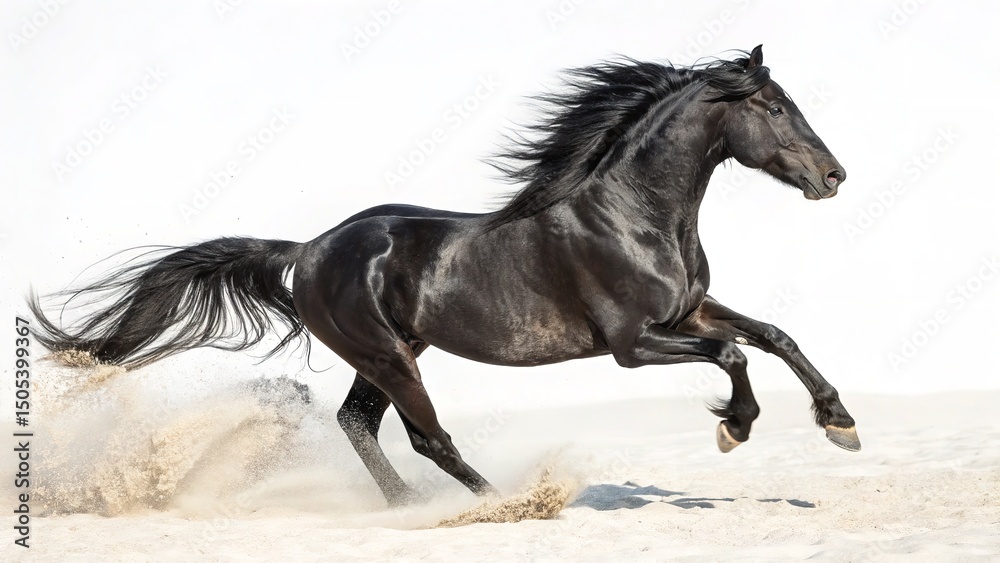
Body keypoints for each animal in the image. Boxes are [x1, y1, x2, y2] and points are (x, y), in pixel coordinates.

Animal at [30, 45, 860, 505]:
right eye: (775, 107)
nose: (834, 176)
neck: (635, 213)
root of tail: (307, 248)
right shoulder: (634, 341)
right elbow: (735, 354)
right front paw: (734, 427)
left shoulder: (688, 311)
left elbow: (774, 335)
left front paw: (840, 422)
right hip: (387, 355)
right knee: (425, 435)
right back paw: (501, 501)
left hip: (393, 352)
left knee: (358, 422)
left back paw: (407, 507)